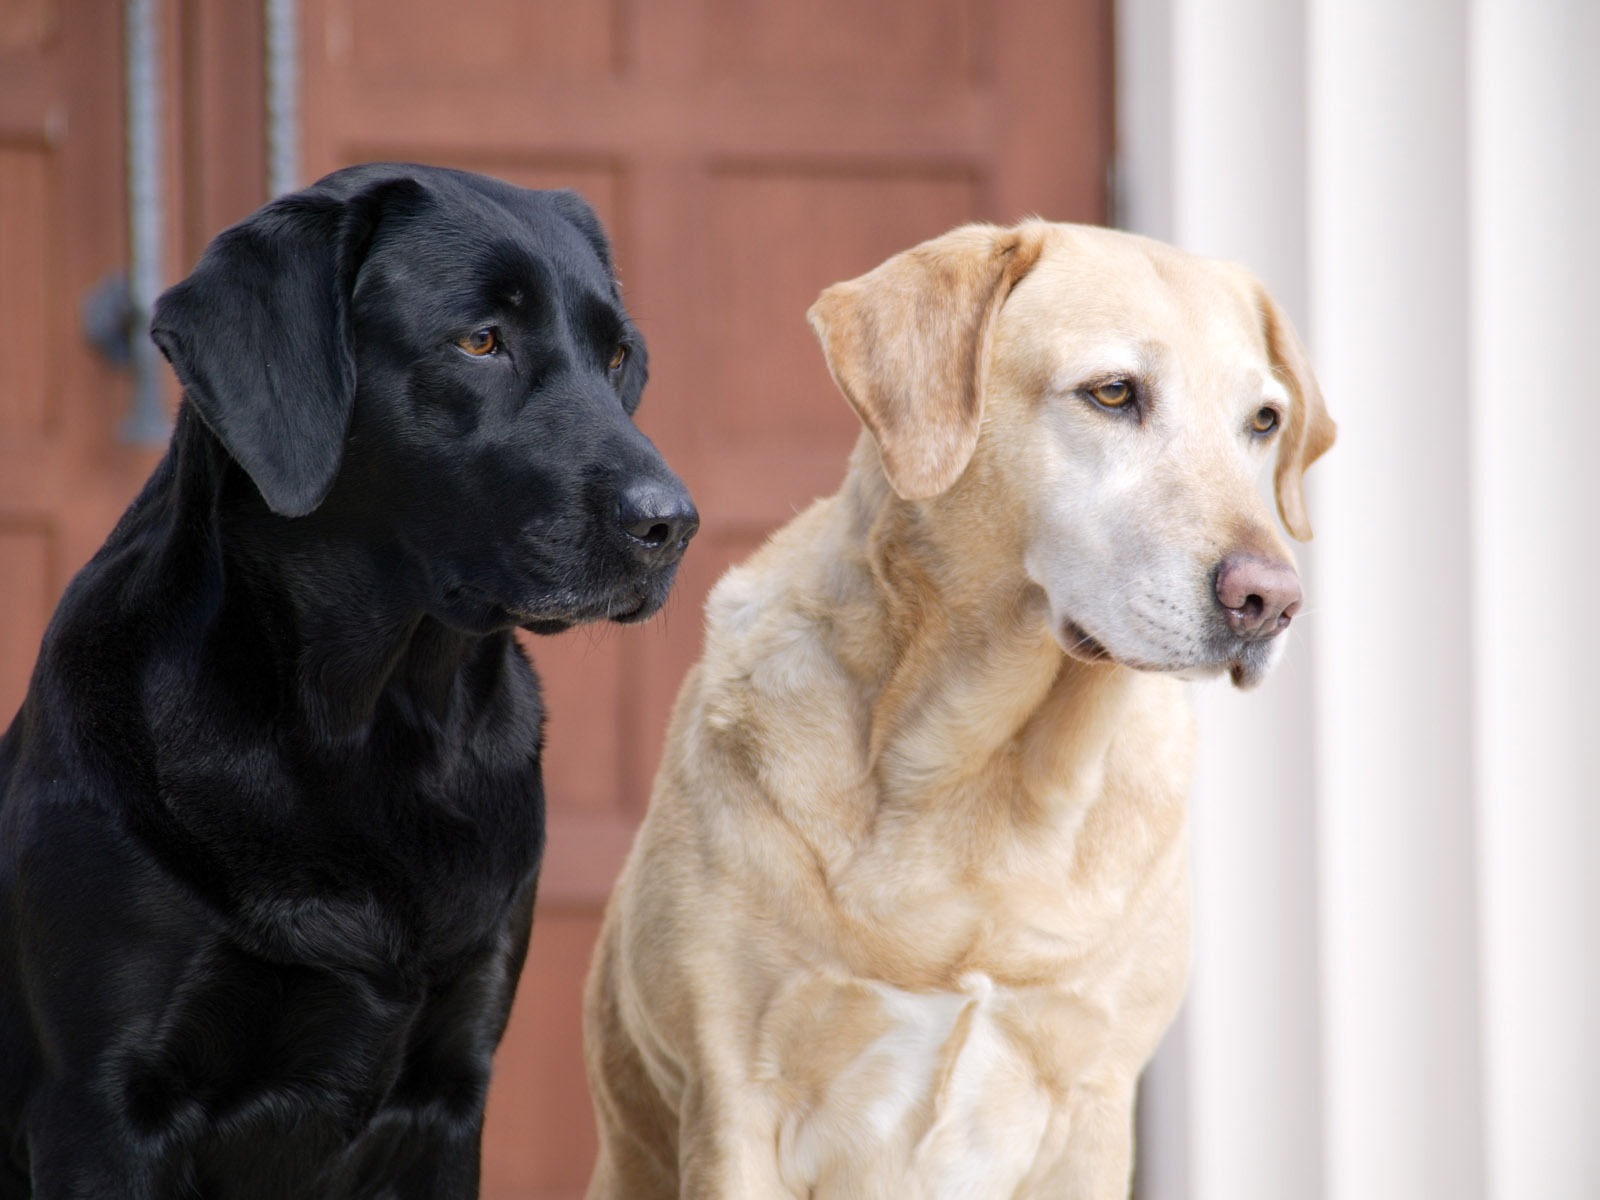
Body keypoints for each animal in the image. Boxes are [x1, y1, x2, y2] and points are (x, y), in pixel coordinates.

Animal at [1, 164, 700, 1196]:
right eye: (480, 340)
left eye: (616, 357)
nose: (672, 525)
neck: (377, 728)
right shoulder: (98, 1110)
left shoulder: (450, 1088)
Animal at [582, 220, 1331, 1196]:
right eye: (1113, 393)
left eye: (1264, 422)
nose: (1272, 601)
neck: (982, 775)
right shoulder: (734, 1099)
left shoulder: (1094, 1103)